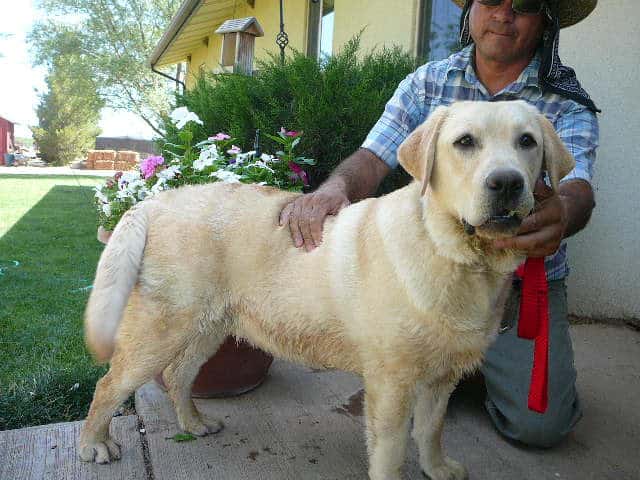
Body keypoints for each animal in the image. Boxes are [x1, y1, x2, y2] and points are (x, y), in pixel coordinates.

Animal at [80, 99, 576, 478]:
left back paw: (193, 422)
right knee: (110, 384)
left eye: (527, 142)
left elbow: (431, 431)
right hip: (161, 330)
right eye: (465, 142)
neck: (456, 255)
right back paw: (94, 444)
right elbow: (391, 451)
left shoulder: (442, 376)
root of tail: (154, 202)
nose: (507, 182)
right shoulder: (392, 383)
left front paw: (437, 469)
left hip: (209, 326)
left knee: (179, 376)